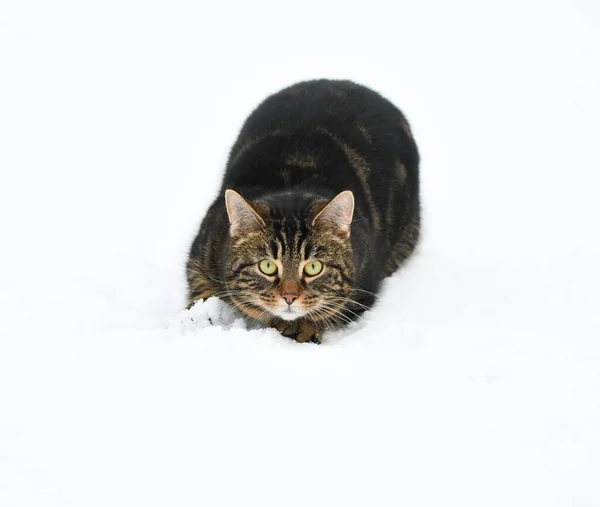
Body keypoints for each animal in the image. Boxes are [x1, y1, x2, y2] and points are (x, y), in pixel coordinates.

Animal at [185, 80, 420, 346]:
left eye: (313, 267)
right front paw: (201, 317)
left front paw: (301, 326)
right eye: (267, 266)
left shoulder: (364, 285)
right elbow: (201, 289)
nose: (289, 296)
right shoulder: (202, 248)